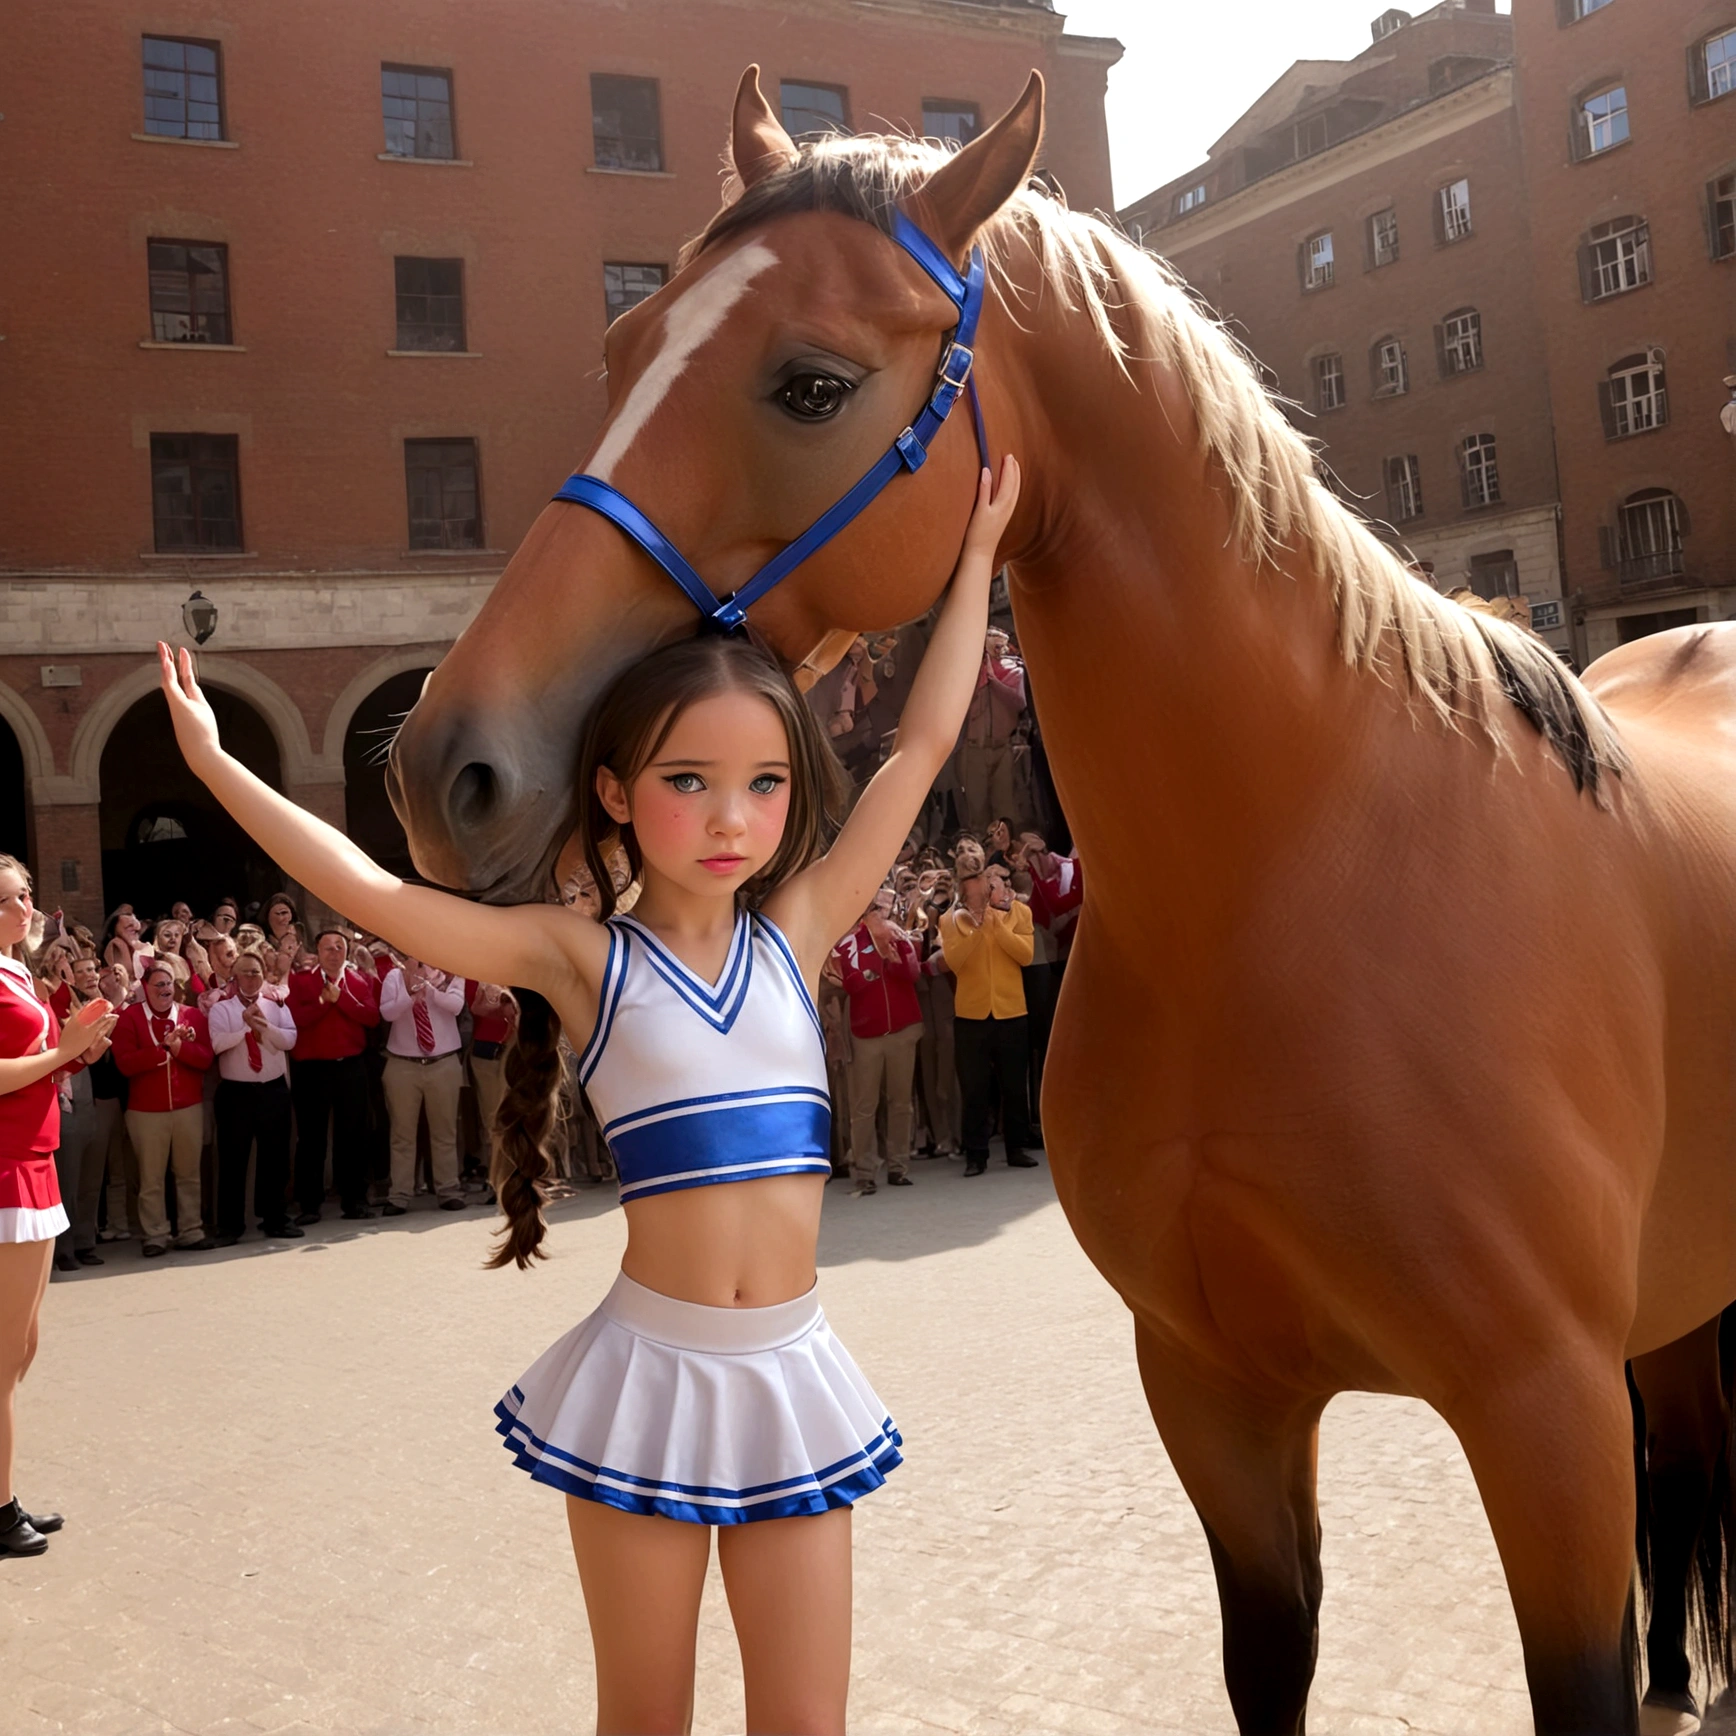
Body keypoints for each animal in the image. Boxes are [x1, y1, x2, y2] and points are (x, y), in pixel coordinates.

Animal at [390, 71, 1736, 1736]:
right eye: (628, 348)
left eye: (812, 385)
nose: (448, 763)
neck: (1302, 884)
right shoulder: (1214, 1392)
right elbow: (1269, 1662)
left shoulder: (1543, 1414)